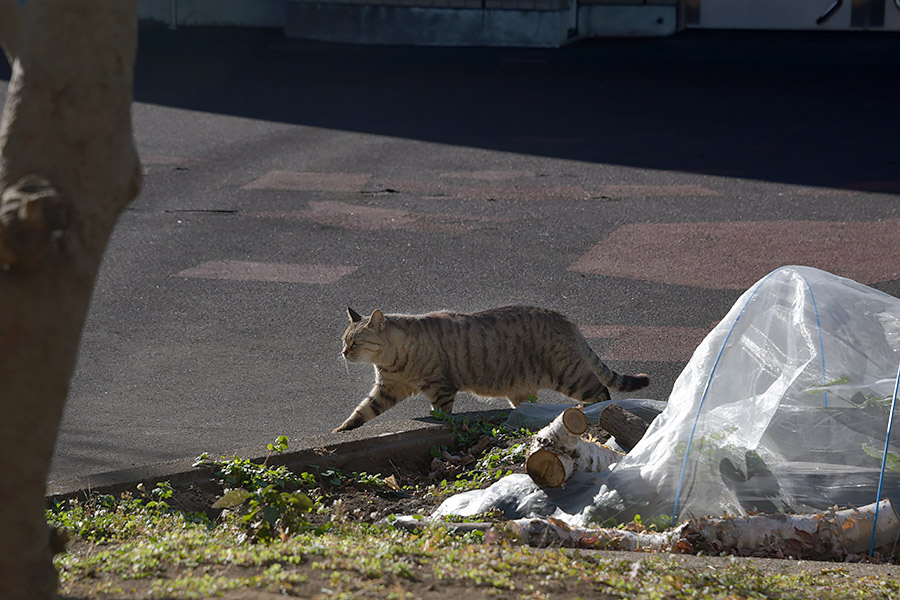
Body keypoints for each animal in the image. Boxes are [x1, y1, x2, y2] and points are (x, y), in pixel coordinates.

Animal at [330, 308, 648, 434]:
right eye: (344, 340)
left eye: (355, 342)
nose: (343, 353)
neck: (393, 359)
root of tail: (567, 320)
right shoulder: (386, 389)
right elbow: (362, 411)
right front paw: (341, 430)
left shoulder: (441, 387)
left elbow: (441, 413)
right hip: (523, 391)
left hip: (570, 376)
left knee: (602, 392)